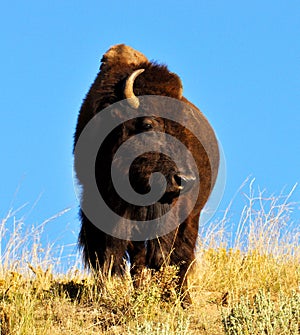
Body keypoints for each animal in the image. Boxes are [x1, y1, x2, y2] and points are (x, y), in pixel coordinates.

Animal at [72, 44, 218, 304]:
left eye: (182, 129)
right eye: (148, 124)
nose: (186, 180)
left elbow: (156, 255)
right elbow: (118, 254)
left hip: (191, 216)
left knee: (182, 255)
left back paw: (182, 298)